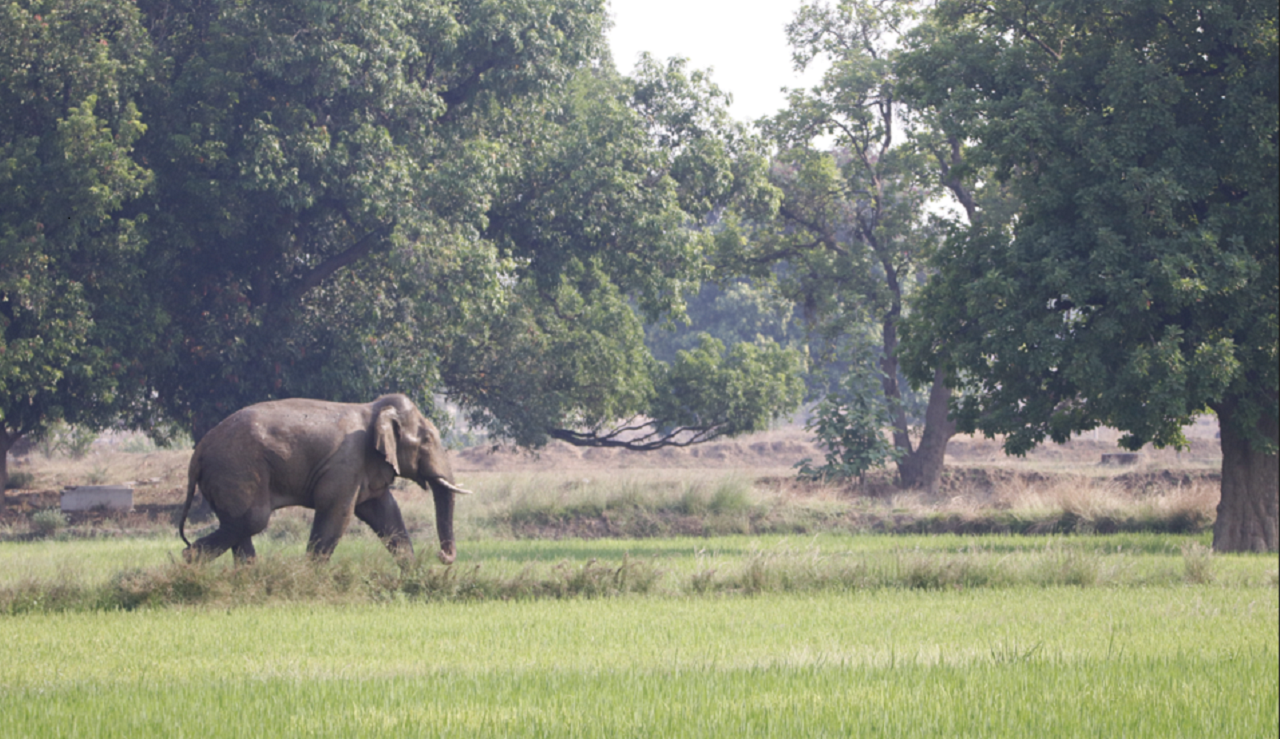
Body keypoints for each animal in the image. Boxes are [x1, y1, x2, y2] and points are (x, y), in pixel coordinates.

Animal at [181, 394, 476, 560]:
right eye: (427, 440)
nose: (442, 555)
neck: (373, 409)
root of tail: (197, 454)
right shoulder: (346, 463)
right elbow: (337, 513)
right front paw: (309, 584)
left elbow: (386, 513)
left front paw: (413, 578)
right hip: (236, 471)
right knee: (252, 520)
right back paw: (189, 562)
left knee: (239, 526)